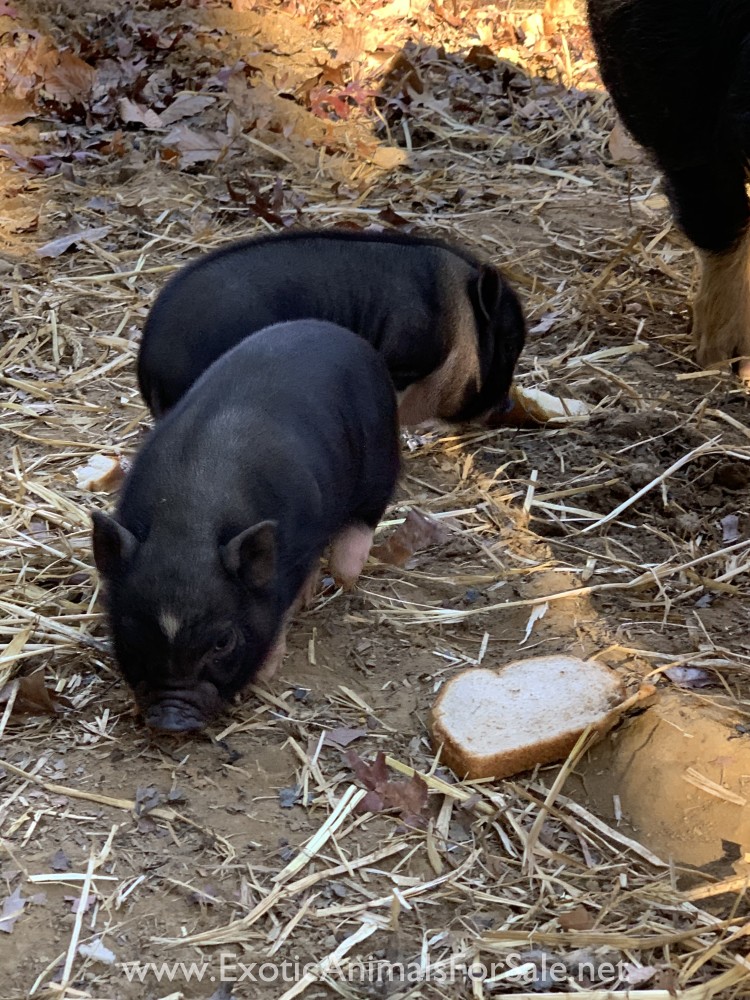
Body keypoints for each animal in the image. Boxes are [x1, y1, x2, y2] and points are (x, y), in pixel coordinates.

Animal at [92, 319, 400, 732]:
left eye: (222, 643)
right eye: (133, 637)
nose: (171, 720)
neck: (187, 523)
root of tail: (339, 332)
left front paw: (266, 673)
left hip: (382, 457)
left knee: (365, 519)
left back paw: (344, 573)